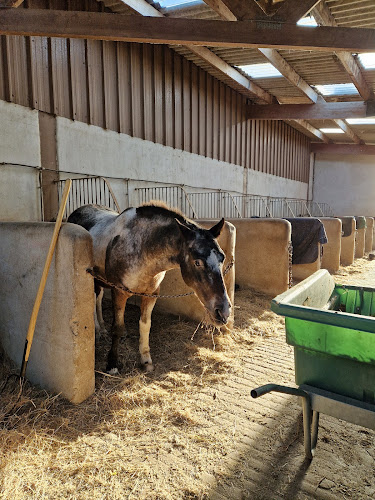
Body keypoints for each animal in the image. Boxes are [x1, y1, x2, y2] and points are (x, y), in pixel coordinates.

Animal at [67, 202, 232, 372]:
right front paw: (112, 364)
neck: (141, 248)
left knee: (98, 299)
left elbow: (145, 325)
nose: (223, 311)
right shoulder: (119, 292)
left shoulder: (151, 294)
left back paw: (102, 328)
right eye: (197, 262)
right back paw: (98, 330)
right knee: (94, 299)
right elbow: (117, 328)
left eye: (222, 258)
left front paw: (146, 360)